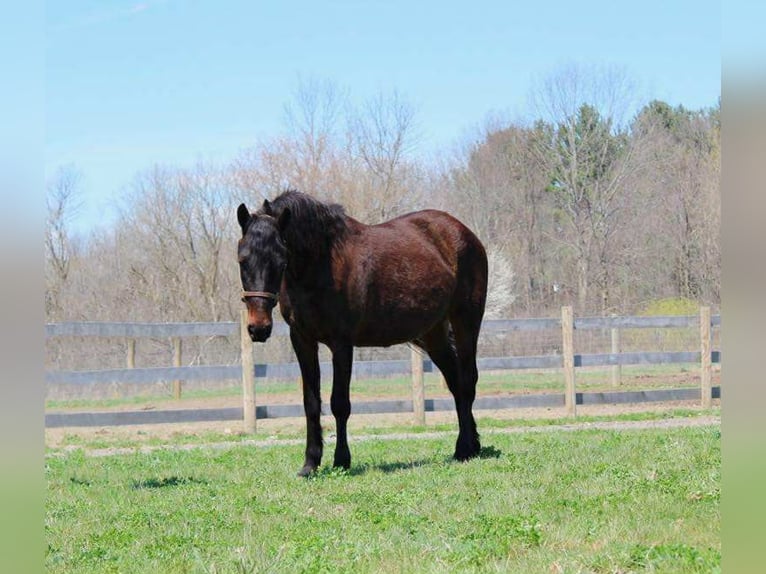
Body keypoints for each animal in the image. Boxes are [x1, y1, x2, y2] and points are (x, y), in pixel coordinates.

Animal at [236, 190, 488, 476]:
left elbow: (339, 403)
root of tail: (464, 232)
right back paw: (469, 445)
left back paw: (465, 448)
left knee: (467, 382)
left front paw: (341, 460)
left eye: (281, 260)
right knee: (456, 384)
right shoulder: (302, 340)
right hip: (434, 335)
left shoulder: (341, 344)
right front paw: (310, 463)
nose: (258, 328)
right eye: (242, 260)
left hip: (466, 322)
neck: (321, 263)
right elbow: (311, 403)